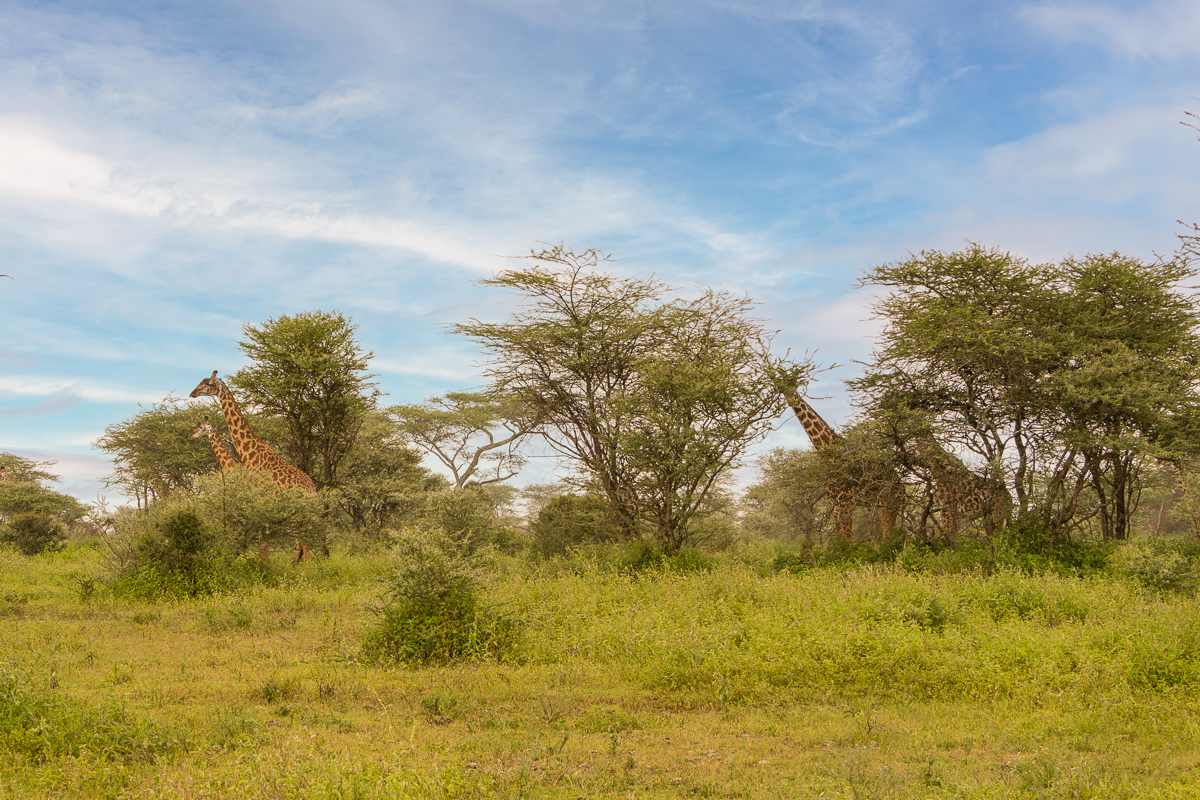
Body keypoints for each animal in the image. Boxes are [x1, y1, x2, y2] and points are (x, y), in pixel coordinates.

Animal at [190, 371, 316, 562]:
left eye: (209, 383)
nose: (192, 393)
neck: (249, 455)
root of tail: (313, 489)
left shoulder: (258, 506)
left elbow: (262, 547)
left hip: (299, 513)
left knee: (304, 543)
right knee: (301, 543)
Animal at [780, 382, 903, 543]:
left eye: (793, 385)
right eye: (782, 385)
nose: (790, 398)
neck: (829, 454)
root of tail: (902, 486)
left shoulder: (846, 503)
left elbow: (849, 542)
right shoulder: (834, 504)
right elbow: (840, 541)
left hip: (889, 502)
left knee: (889, 533)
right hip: (880, 505)